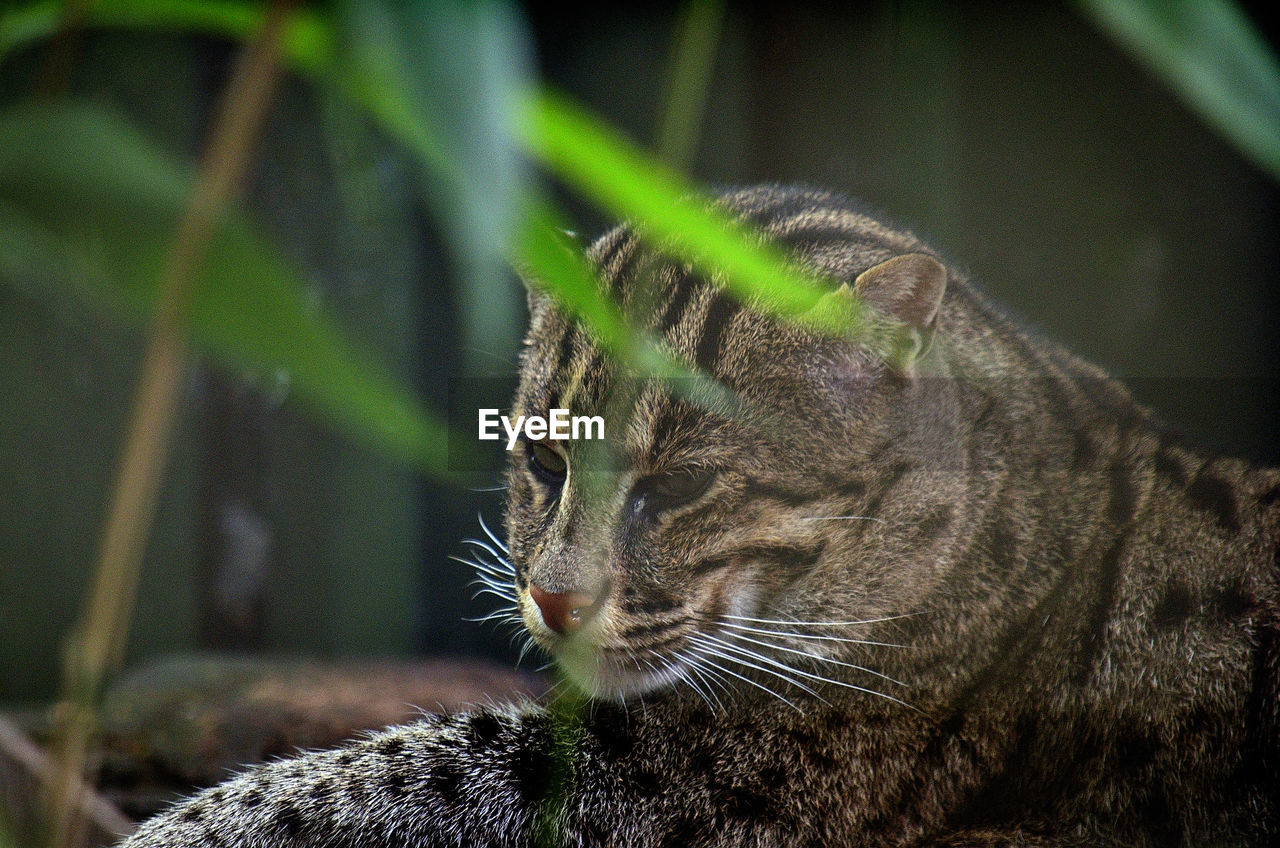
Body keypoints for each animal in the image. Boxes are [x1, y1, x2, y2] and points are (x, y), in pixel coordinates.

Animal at [122, 184, 1280, 845]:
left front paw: (178, 830)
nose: (552, 601)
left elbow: (406, 770)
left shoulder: (738, 772)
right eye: (541, 460)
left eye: (678, 488)